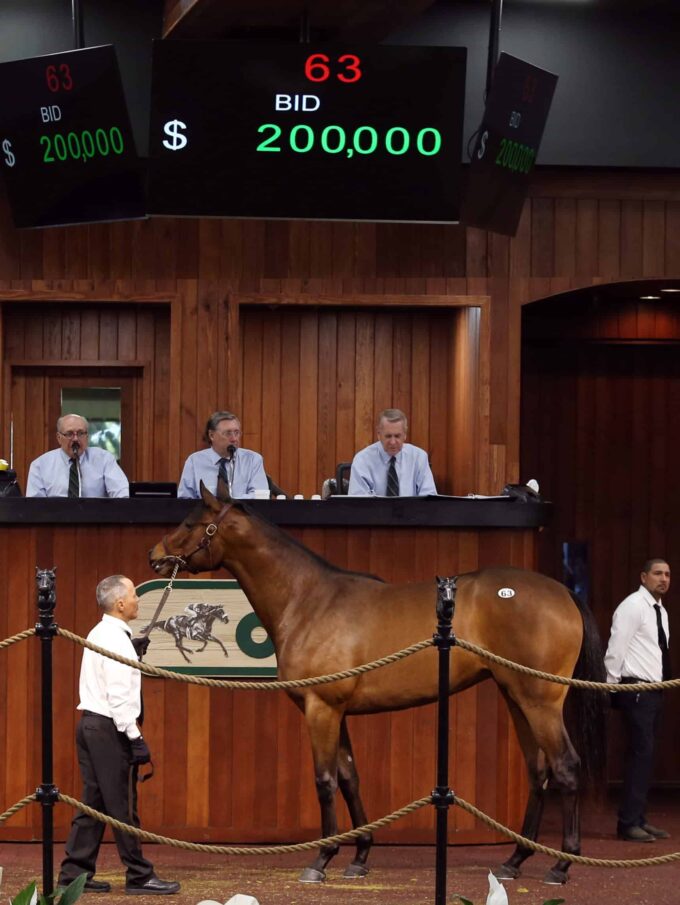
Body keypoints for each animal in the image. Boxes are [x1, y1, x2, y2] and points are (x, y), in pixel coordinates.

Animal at [149, 484, 604, 888]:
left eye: (190, 522)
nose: (154, 557)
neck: (309, 601)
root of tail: (563, 592)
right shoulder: (338, 712)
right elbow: (350, 777)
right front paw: (360, 856)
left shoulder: (321, 708)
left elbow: (325, 781)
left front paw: (322, 859)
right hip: (515, 697)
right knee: (539, 770)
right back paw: (515, 860)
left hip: (540, 701)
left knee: (565, 766)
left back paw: (562, 864)